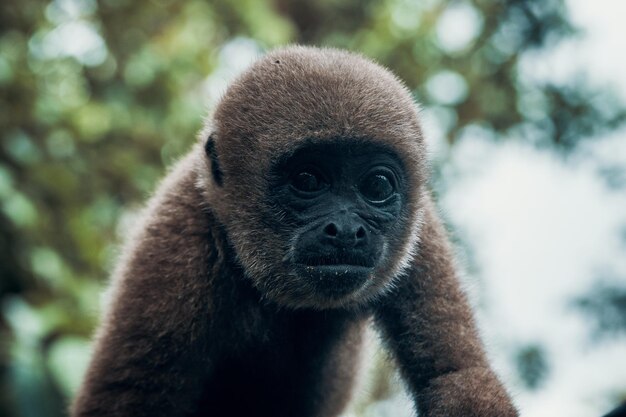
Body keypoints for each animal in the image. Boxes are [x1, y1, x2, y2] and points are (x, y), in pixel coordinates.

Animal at [70, 45, 516, 416]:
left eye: (377, 186)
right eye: (307, 179)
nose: (347, 230)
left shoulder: (422, 232)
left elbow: (455, 375)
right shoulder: (176, 243)